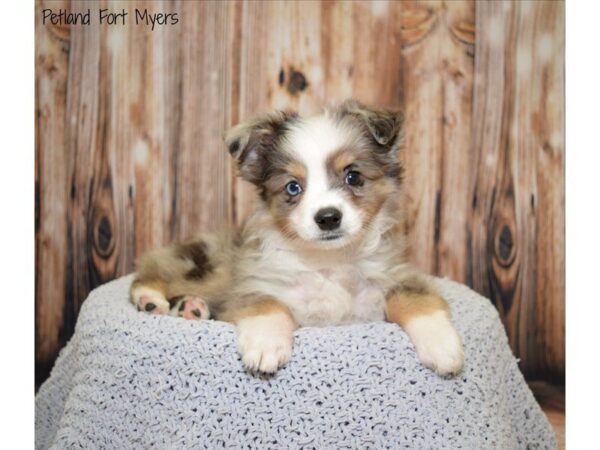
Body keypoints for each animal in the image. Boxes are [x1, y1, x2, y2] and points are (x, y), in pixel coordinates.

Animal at [131, 99, 466, 376]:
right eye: (293, 187)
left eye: (353, 176)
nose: (328, 217)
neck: (328, 262)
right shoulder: (252, 283)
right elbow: (266, 302)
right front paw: (265, 344)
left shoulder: (395, 276)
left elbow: (416, 298)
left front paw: (442, 346)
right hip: (209, 267)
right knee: (151, 272)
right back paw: (151, 300)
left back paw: (190, 308)